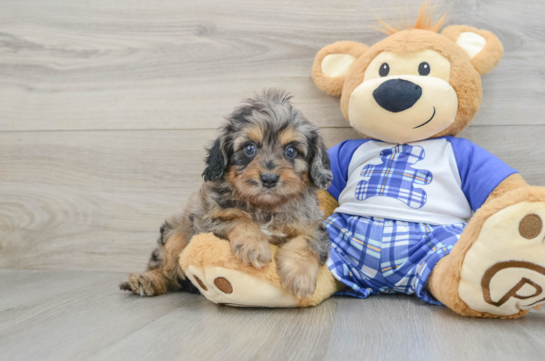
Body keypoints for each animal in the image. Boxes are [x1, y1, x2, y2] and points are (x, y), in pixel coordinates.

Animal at [119, 89, 332, 298]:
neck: (264, 206)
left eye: (291, 151)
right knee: (166, 269)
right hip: (176, 234)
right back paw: (146, 280)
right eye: (249, 148)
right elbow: (239, 219)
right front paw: (254, 246)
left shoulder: (313, 227)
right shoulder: (207, 221)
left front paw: (300, 277)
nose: (269, 179)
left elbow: (306, 242)